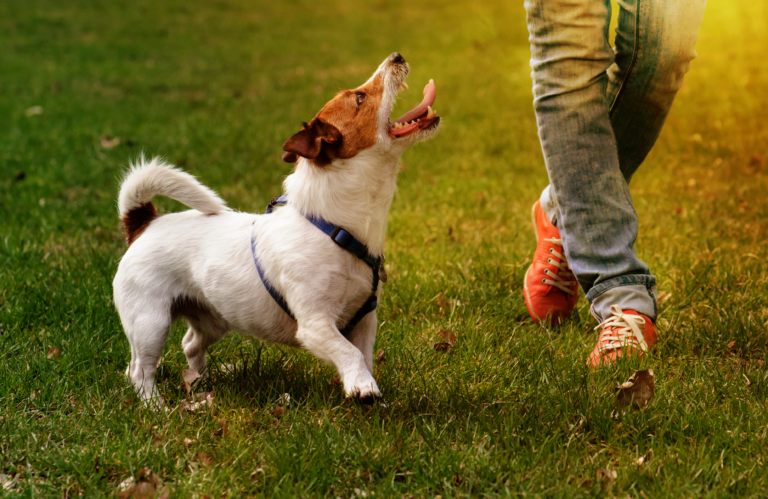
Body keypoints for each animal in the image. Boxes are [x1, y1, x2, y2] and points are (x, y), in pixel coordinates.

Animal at [112, 53, 440, 406]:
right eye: (360, 97)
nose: (397, 56)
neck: (336, 227)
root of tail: (145, 222)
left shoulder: (365, 321)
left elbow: (363, 356)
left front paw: (370, 392)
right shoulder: (315, 325)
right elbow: (348, 352)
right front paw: (363, 387)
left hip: (213, 317)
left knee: (190, 345)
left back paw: (202, 382)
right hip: (150, 322)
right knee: (140, 370)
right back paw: (156, 407)